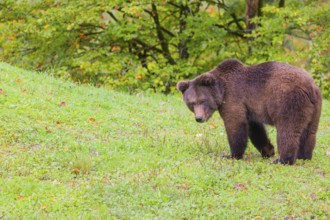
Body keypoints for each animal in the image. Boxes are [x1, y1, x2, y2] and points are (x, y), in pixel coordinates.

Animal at [178, 59, 322, 164]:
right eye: (191, 103)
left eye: (202, 101)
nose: (199, 118)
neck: (222, 90)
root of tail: (309, 87)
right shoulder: (249, 108)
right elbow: (255, 129)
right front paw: (268, 150)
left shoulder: (233, 98)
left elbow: (235, 124)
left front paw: (232, 155)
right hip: (314, 107)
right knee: (310, 131)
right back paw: (304, 156)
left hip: (288, 101)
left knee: (288, 130)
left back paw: (283, 160)